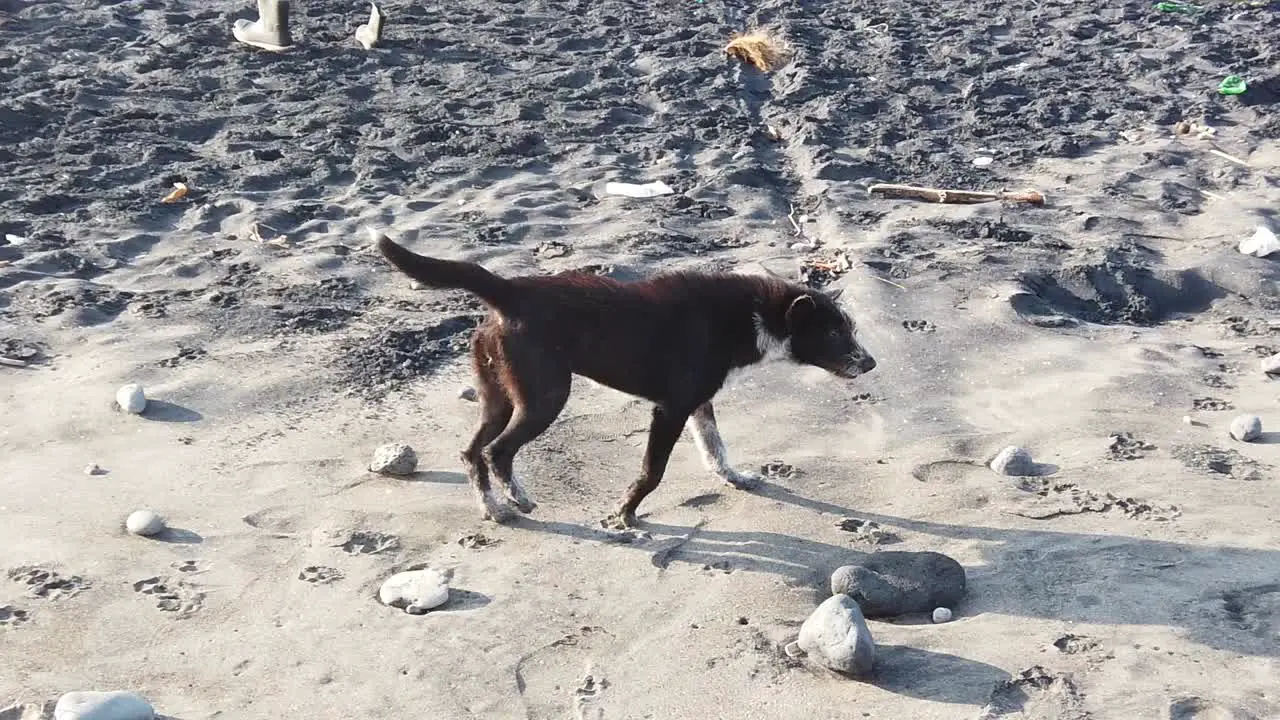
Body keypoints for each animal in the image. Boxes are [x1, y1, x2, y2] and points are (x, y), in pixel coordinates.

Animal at [373, 234, 875, 527]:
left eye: (850, 328)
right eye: (834, 333)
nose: (870, 363)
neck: (751, 314)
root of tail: (508, 291)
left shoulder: (698, 402)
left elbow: (716, 448)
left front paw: (735, 477)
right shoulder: (670, 409)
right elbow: (653, 471)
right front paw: (627, 513)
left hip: (499, 396)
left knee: (472, 452)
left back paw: (493, 509)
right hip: (545, 397)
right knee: (498, 452)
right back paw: (518, 501)